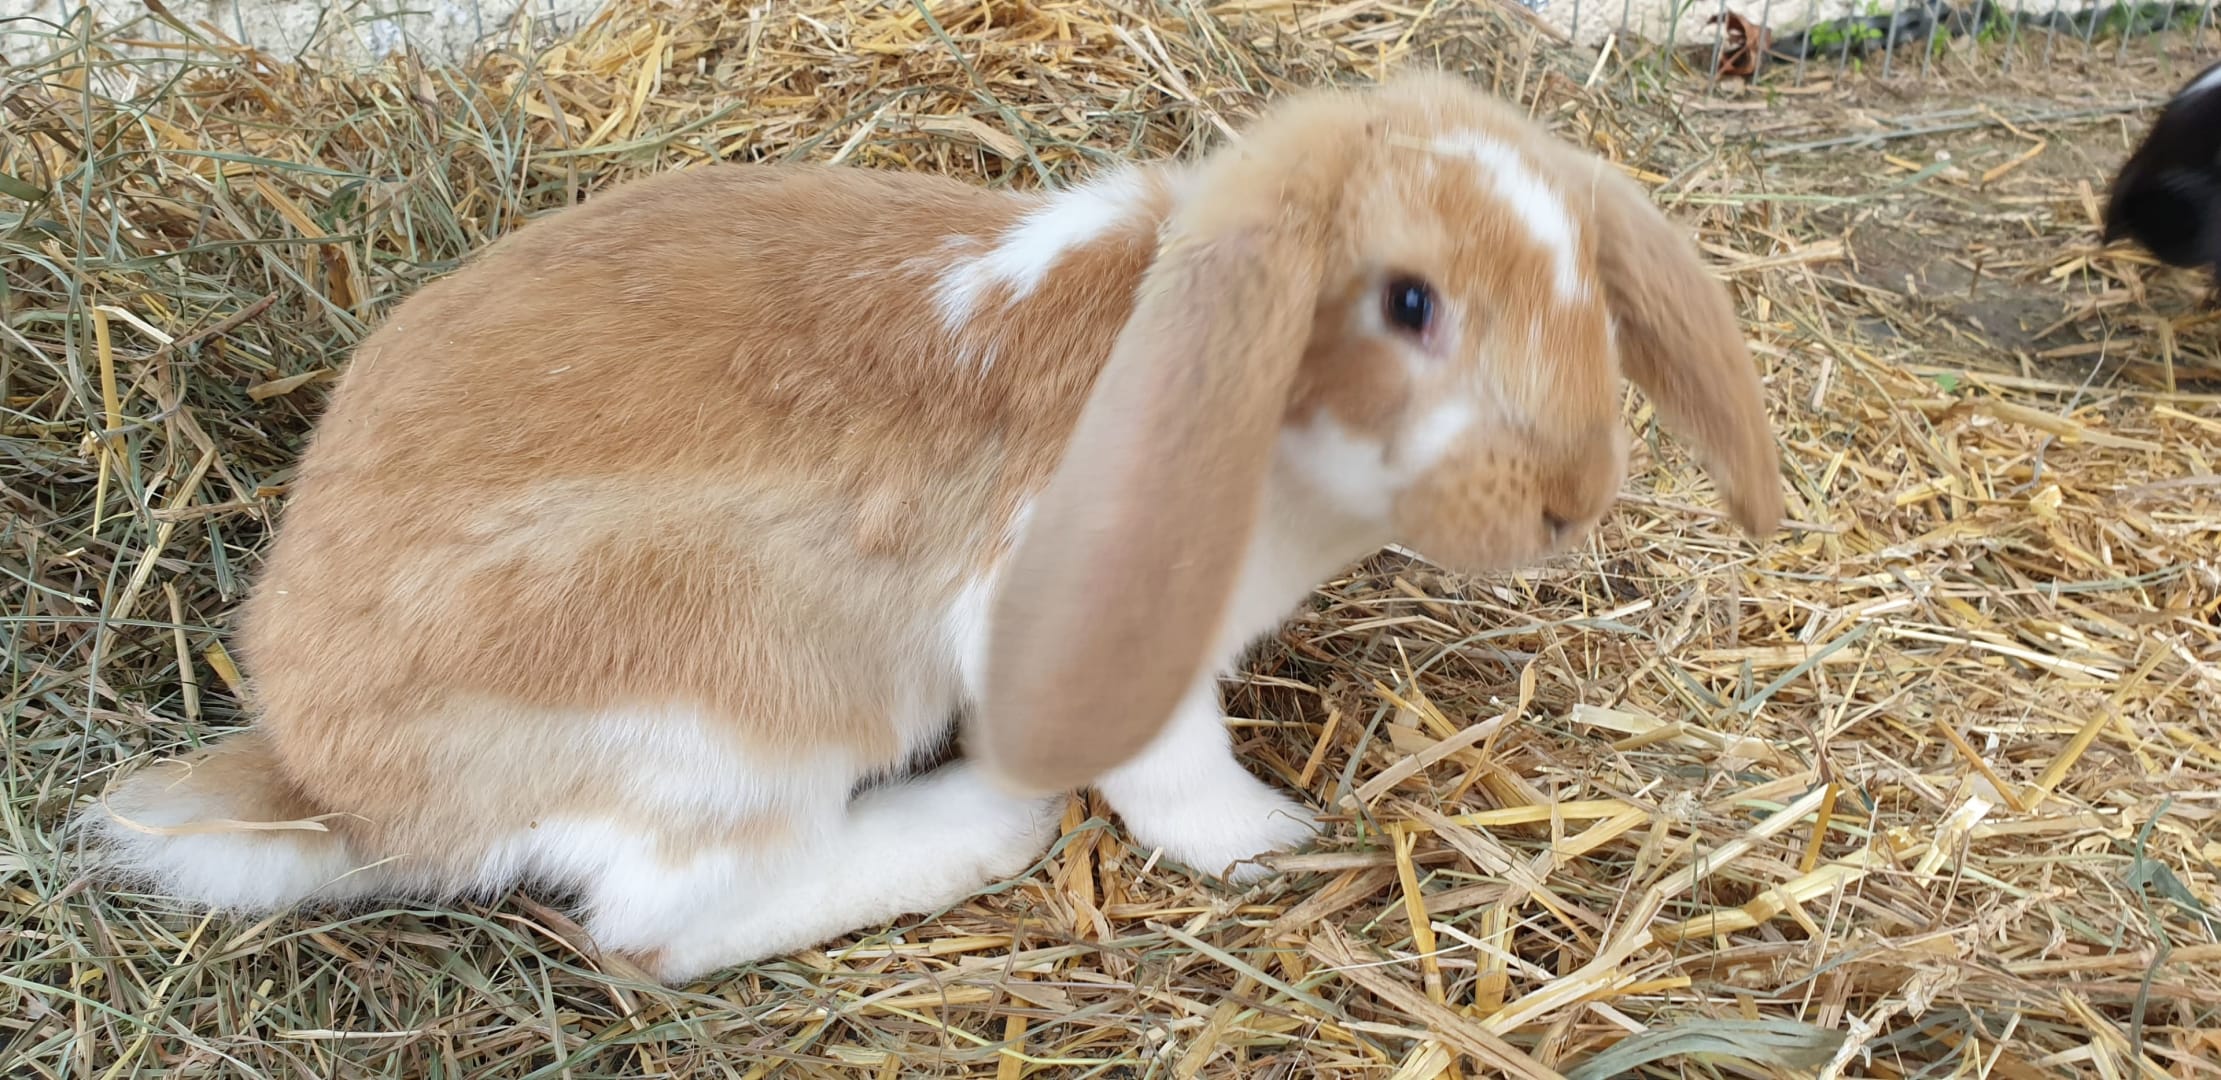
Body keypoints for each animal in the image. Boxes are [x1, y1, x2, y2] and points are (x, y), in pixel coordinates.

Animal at [76, 69, 1784, 985]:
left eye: (1583, 281)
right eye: (1410, 303)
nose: (1572, 499)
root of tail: (333, 785)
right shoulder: (1074, 632)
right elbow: (1175, 776)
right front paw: (1276, 842)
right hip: (731, 708)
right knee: (659, 923)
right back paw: (976, 826)